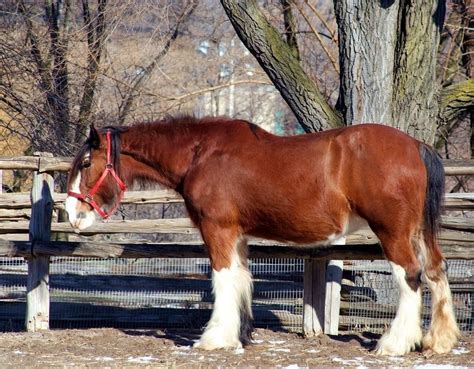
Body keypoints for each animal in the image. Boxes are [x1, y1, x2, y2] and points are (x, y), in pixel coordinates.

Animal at [65, 116, 458, 356]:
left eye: (85, 163)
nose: (71, 214)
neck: (201, 154)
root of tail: (415, 146)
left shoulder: (217, 229)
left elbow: (223, 279)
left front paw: (214, 337)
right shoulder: (238, 235)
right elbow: (241, 279)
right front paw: (239, 335)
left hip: (393, 232)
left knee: (410, 277)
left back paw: (394, 343)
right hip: (420, 232)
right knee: (436, 272)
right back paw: (438, 341)